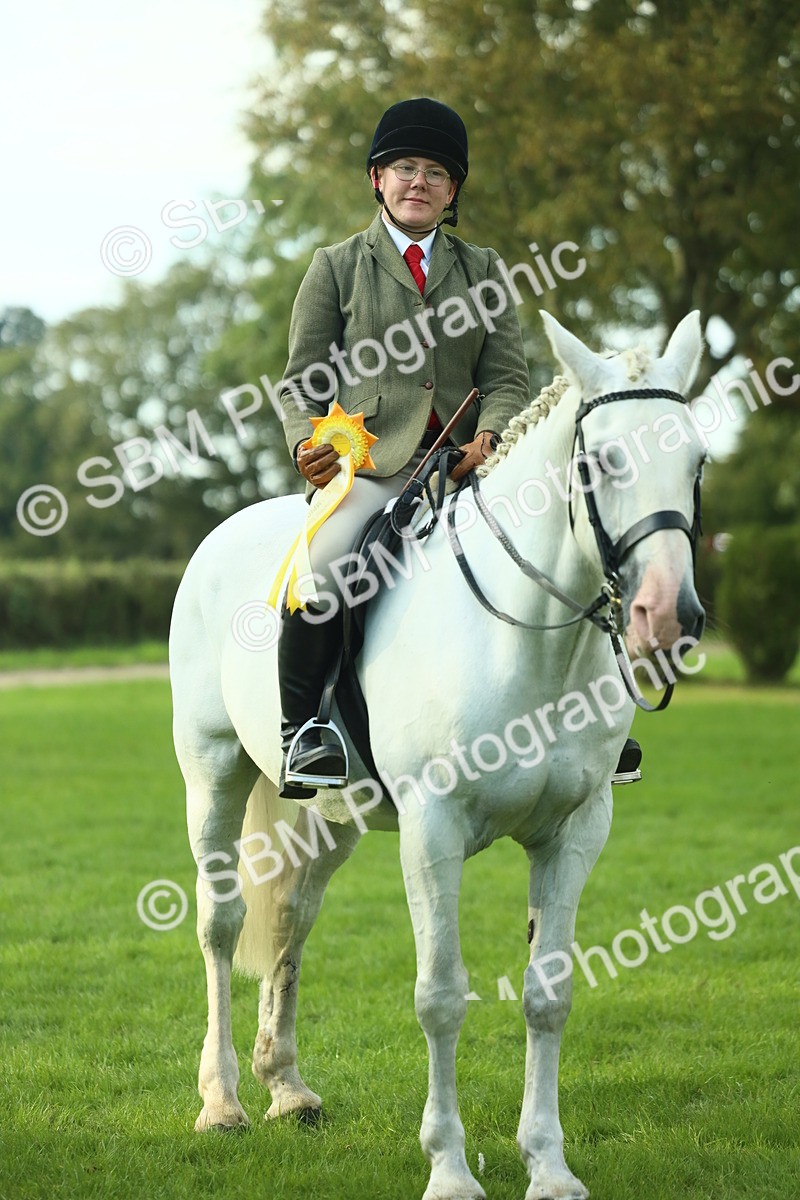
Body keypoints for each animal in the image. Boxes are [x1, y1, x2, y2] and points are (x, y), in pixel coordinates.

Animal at [169, 310, 706, 1200]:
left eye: (698, 460)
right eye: (601, 461)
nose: (668, 616)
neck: (530, 639)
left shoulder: (578, 830)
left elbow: (549, 993)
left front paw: (548, 1166)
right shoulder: (434, 829)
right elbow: (441, 997)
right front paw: (451, 1170)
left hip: (329, 815)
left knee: (292, 921)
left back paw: (288, 1088)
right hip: (212, 772)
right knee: (222, 924)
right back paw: (222, 1103)